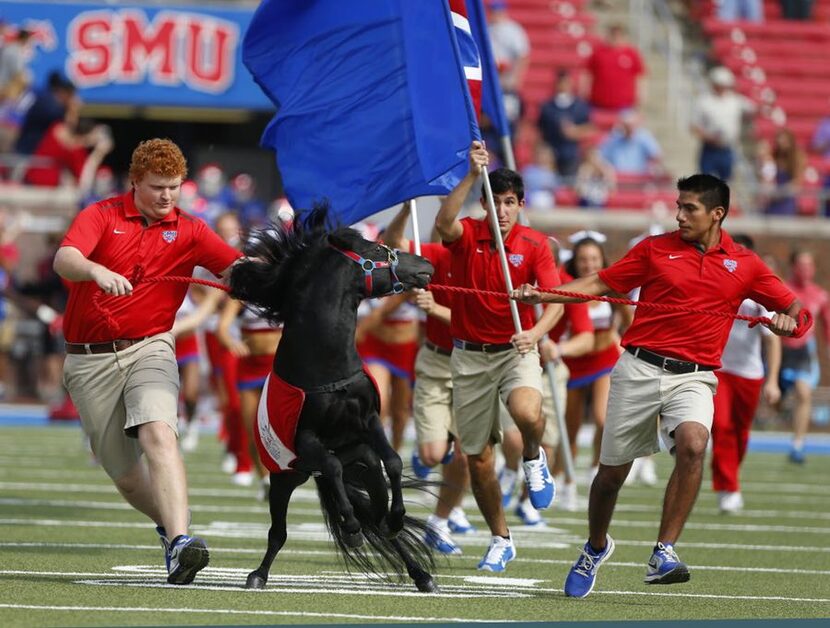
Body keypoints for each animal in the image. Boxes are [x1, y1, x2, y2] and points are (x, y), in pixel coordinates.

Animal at [228, 204, 436, 592]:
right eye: (376, 248)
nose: (425, 263)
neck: (328, 367)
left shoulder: (369, 421)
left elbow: (394, 461)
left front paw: (396, 519)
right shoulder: (306, 439)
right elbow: (332, 466)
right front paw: (351, 528)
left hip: (362, 463)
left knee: (376, 510)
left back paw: (419, 572)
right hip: (285, 479)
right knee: (279, 531)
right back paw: (257, 575)